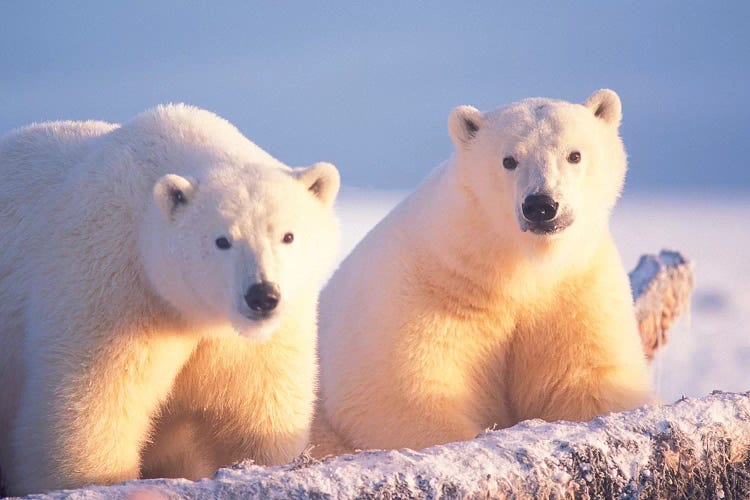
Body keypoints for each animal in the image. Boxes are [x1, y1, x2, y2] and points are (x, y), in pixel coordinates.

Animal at [0, 103, 340, 494]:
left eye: (288, 235)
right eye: (222, 240)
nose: (262, 296)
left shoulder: (255, 341)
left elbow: (258, 408)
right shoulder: (111, 288)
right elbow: (91, 406)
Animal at [314, 88, 656, 456]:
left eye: (574, 154)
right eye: (509, 160)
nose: (541, 205)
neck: (512, 270)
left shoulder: (575, 289)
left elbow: (590, 377)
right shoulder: (421, 292)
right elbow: (404, 394)